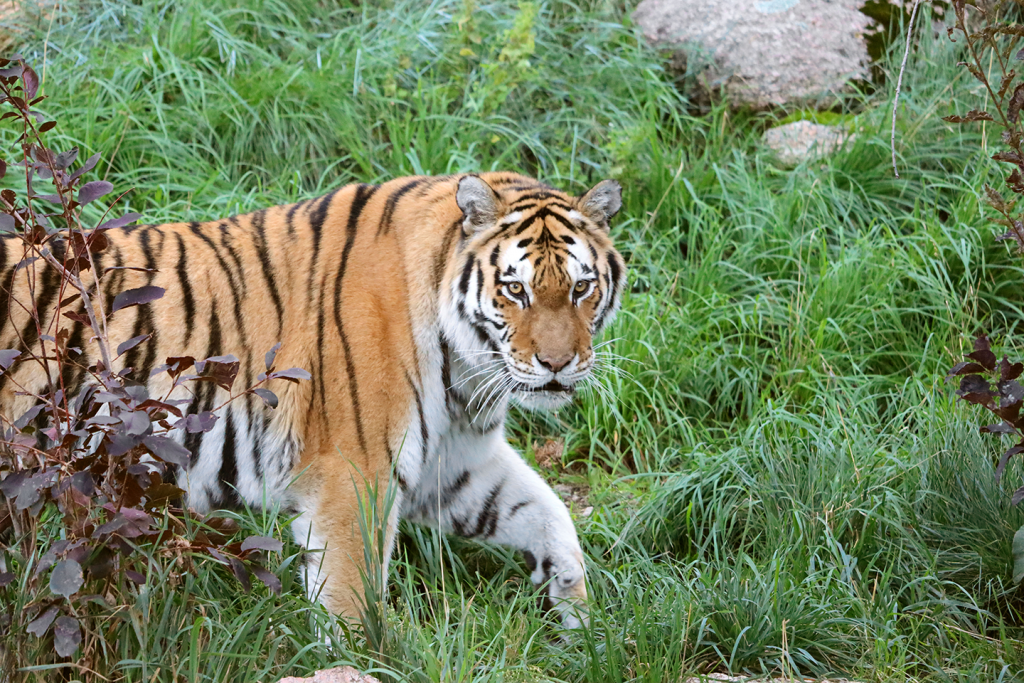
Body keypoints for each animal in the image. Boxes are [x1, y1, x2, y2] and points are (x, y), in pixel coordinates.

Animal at [0, 172, 622, 630]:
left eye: (581, 288)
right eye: (515, 289)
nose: (558, 364)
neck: (464, 372)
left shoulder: (454, 467)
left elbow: (547, 513)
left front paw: (578, 618)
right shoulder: (355, 474)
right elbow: (351, 598)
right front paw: (361, 662)